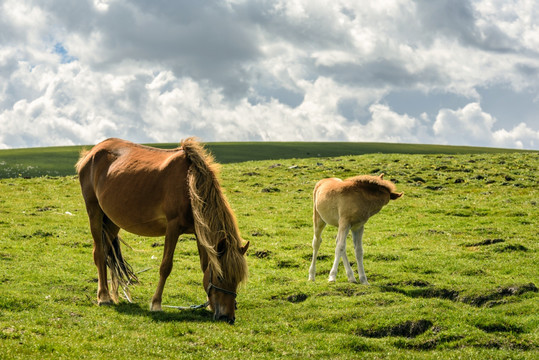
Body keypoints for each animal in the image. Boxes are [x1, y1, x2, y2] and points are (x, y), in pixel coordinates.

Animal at [76, 137, 249, 324]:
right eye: (221, 277)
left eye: (238, 280)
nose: (227, 317)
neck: (190, 184)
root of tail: (92, 152)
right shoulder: (173, 227)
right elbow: (166, 266)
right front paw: (156, 303)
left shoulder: (199, 232)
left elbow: (205, 266)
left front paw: (209, 305)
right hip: (94, 211)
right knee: (100, 254)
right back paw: (103, 297)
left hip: (113, 221)